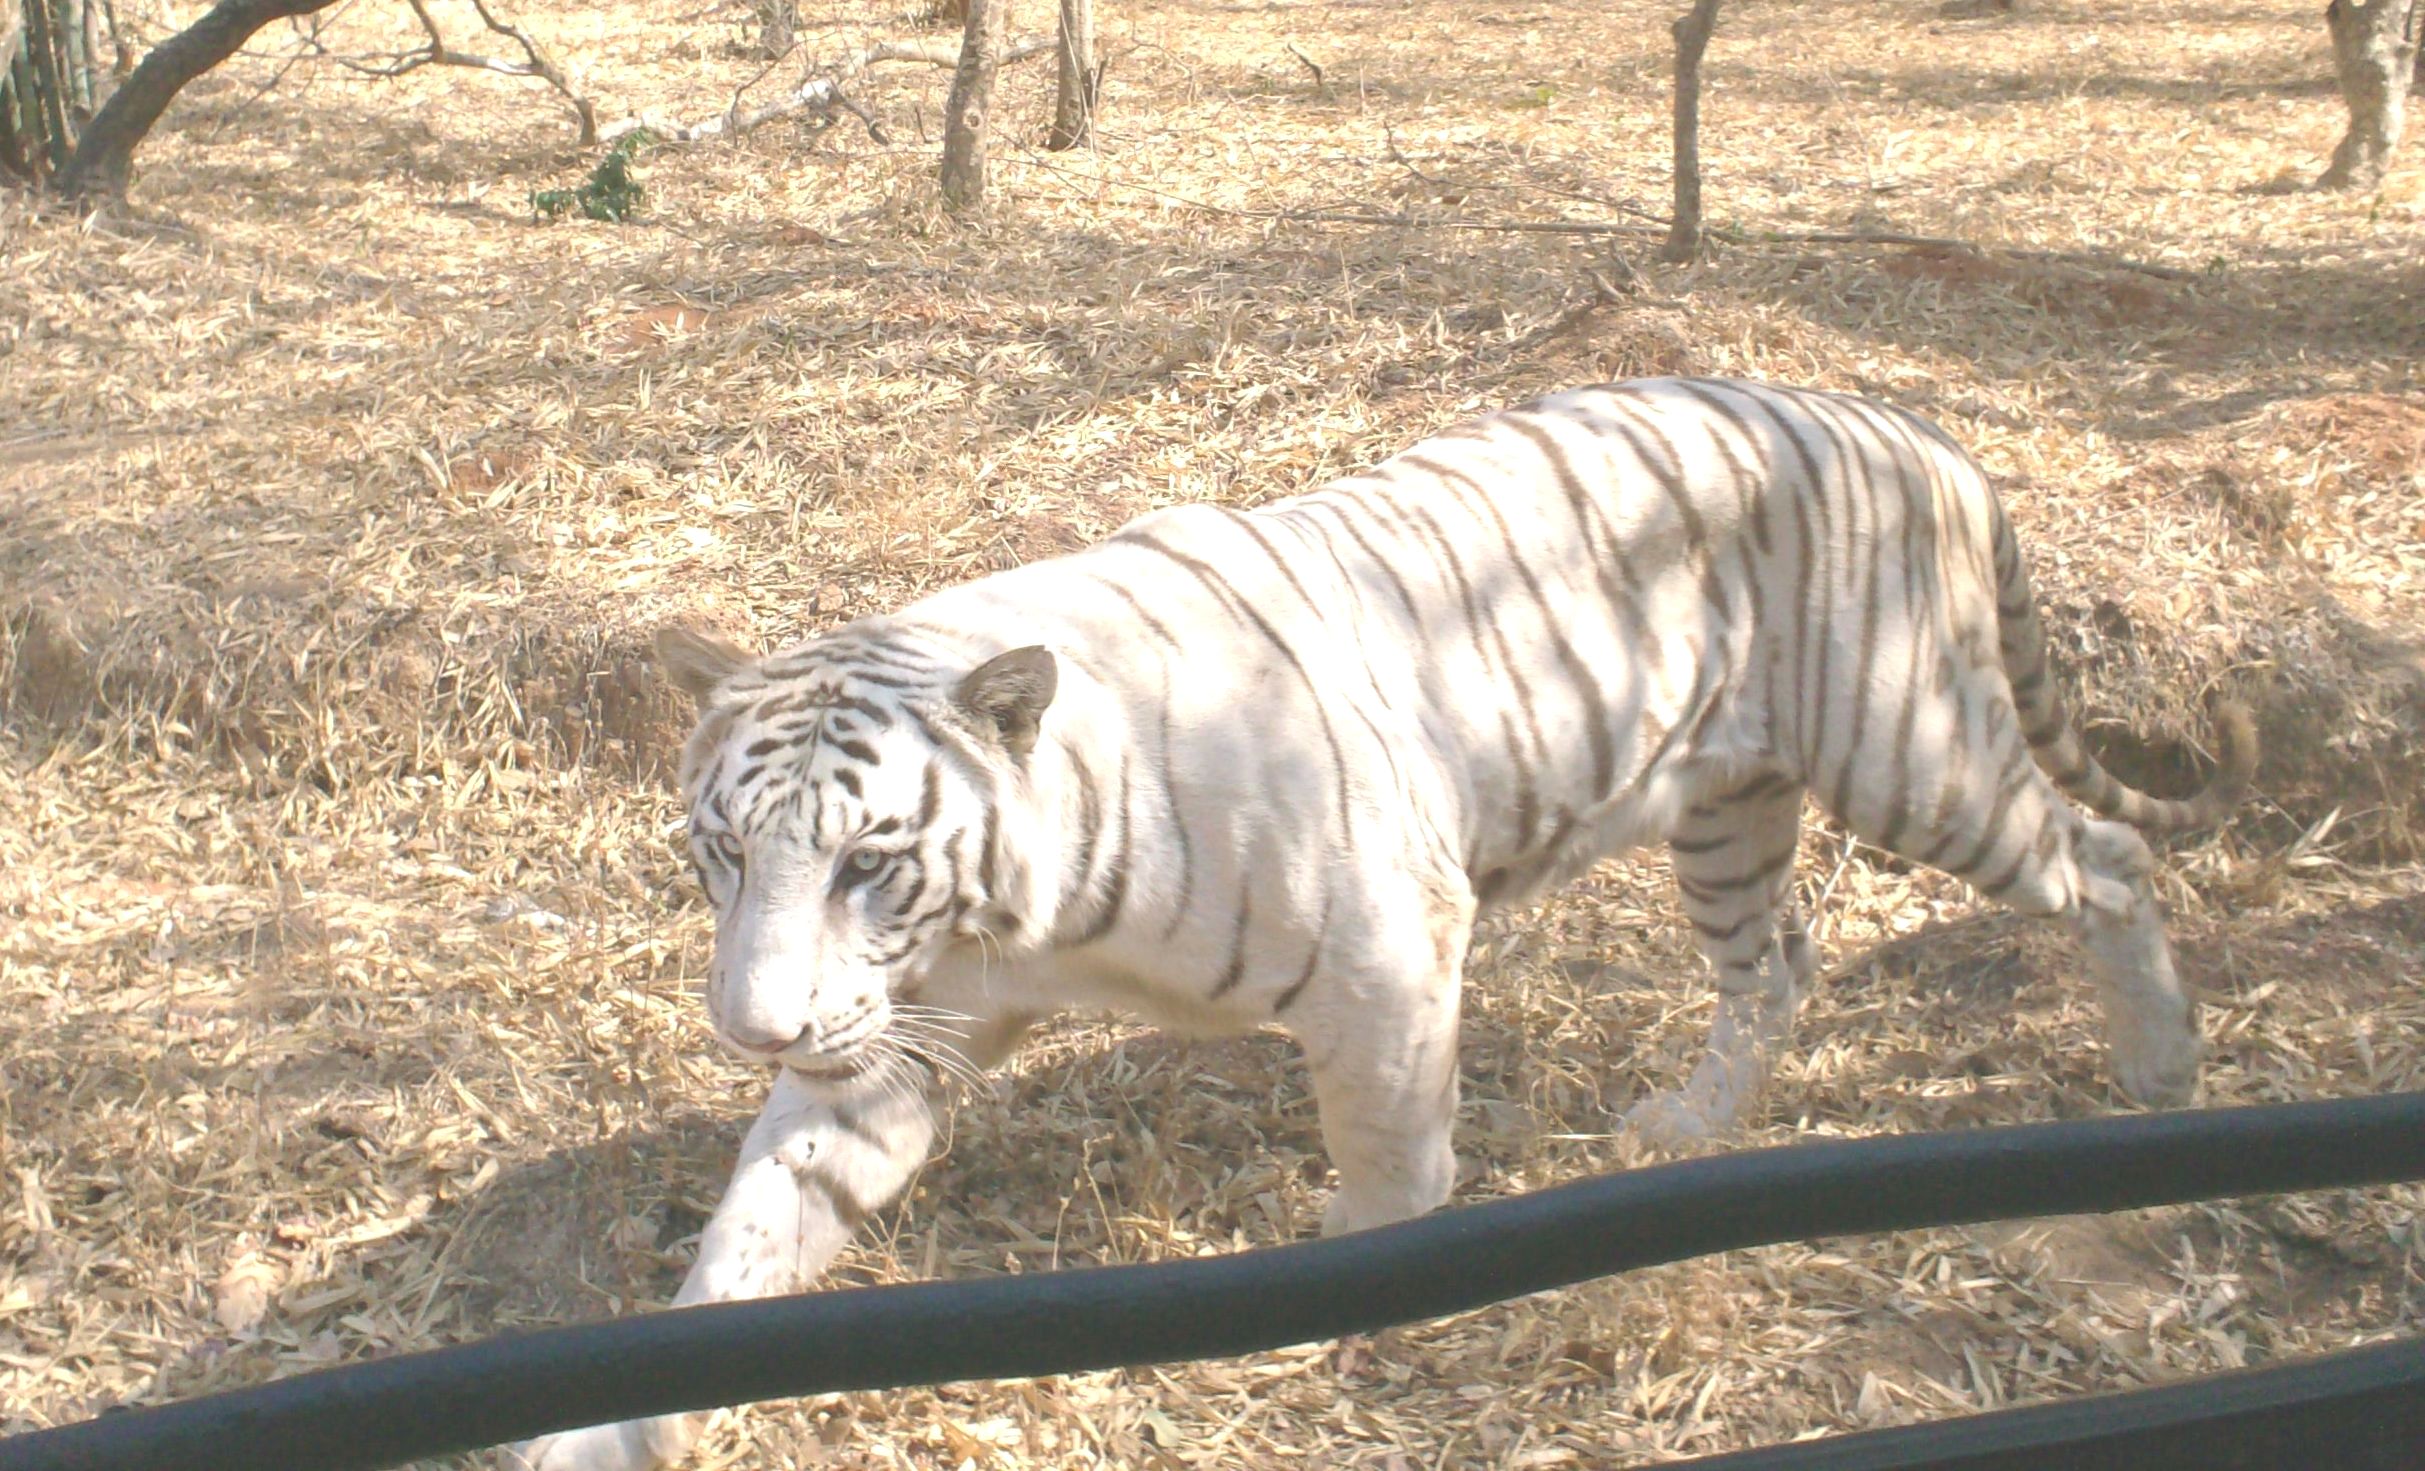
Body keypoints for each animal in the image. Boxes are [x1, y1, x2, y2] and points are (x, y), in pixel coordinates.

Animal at [516, 382, 2250, 1471]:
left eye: (867, 863)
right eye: (724, 854)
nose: (751, 1026)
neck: (1021, 905)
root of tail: (1911, 423)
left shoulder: (1386, 948)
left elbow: (1391, 1167)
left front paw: (1361, 1311)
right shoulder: (888, 1035)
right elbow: (753, 1234)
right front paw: (610, 1421)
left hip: (1911, 755)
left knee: (2103, 853)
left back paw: (2163, 1069)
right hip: (1726, 809)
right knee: (1784, 958)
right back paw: (1686, 1124)